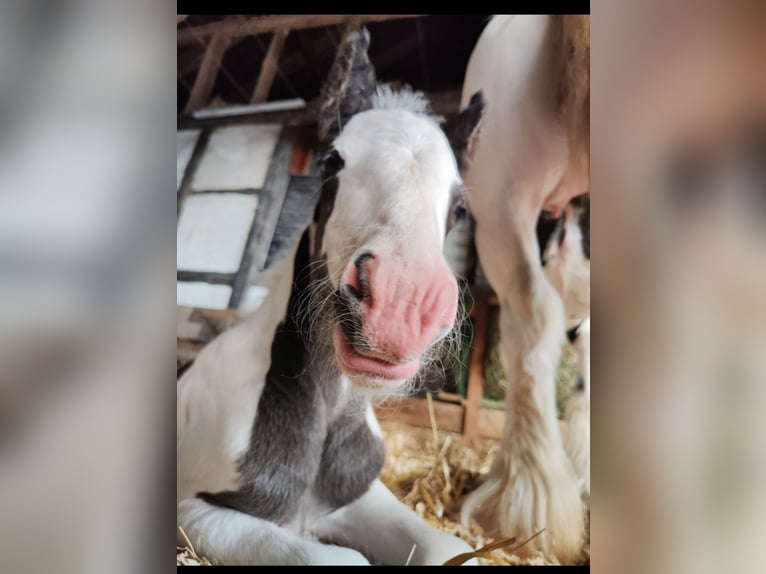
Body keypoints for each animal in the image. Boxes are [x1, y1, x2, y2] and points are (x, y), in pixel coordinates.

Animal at [177, 30, 484, 568]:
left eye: (460, 206)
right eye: (331, 162)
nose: (402, 308)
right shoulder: (193, 510)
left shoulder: (360, 498)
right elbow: (338, 559)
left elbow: (450, 548)